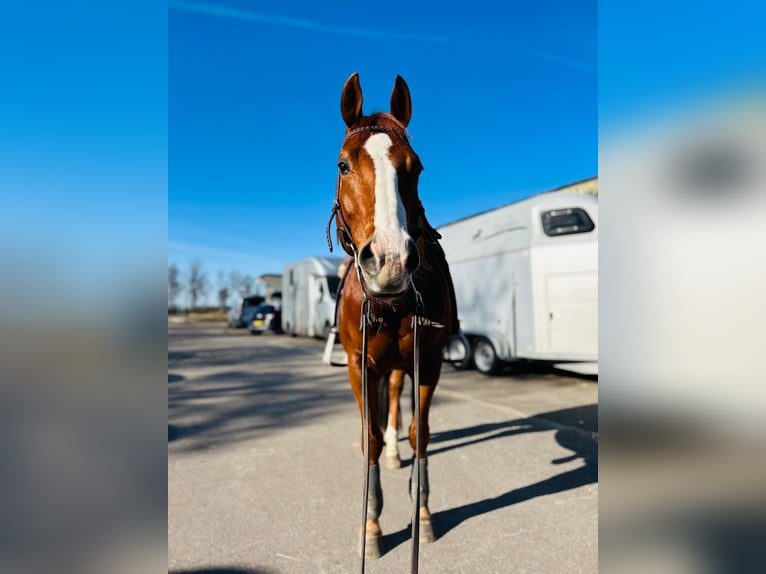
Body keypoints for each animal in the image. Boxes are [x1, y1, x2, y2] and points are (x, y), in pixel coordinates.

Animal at [326, 73, 458, 564]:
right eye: (343, 165)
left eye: (415, 167)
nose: (390, 261)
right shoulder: (359, 364)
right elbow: (370, 437)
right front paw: (371, 523)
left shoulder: (430, 362)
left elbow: (421, 433)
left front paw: (421, 512)